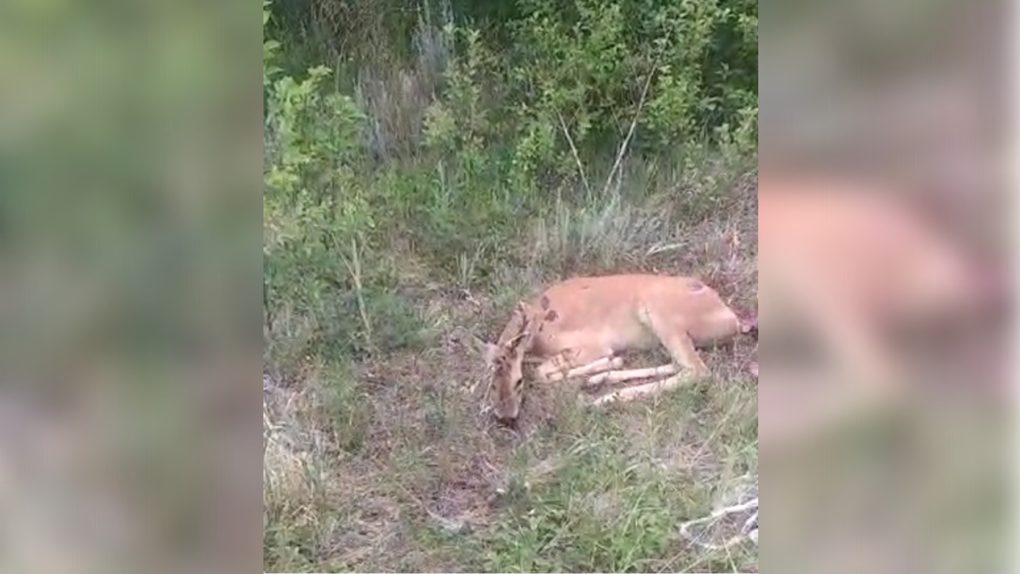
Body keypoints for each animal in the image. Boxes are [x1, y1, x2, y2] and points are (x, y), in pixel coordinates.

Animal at [477, 273, 758, 426]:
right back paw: (599, 382)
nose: (506, 417)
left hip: (660, 309)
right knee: (680, 364)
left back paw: (599, 399)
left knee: (698, 371)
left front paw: (607, 364)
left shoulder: (591, 343)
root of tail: (733, 320)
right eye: (491, 383)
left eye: (518, 382)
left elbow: (542, 373)